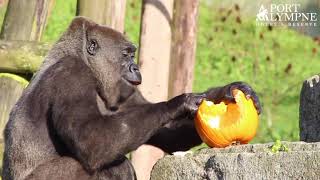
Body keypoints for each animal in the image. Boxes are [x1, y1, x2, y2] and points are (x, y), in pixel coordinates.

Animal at [1, 17, 260, 180]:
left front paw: (228, 91)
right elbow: (92, 140)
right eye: (127, 55)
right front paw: (178, 103)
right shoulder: (72, 74)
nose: (135, 68)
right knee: (111, 164)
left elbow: (169, 135)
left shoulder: (123, 92)